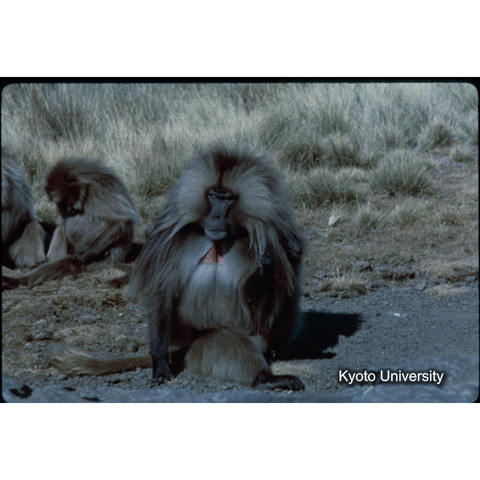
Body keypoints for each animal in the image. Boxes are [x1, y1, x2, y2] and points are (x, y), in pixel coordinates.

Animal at [25, 158, 140, 287]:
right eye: (62, 203)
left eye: (66, 199)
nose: (69, 210)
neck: (86, 188)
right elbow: (64, 223)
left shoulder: (101, 189)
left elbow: (123, 220)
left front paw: (84, 254)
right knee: (63, 226)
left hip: (103, 260)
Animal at [47, 148, 305, 391]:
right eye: (213, 196)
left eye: (228, 199)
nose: (216, 216)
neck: (220, 242)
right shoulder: (174, 243)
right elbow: (163, 294)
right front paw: (160, 364)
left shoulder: (268, 243)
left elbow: (260, 313)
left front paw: (265, 270)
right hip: (195, 342)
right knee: (223, 339)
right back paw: (264, 379)